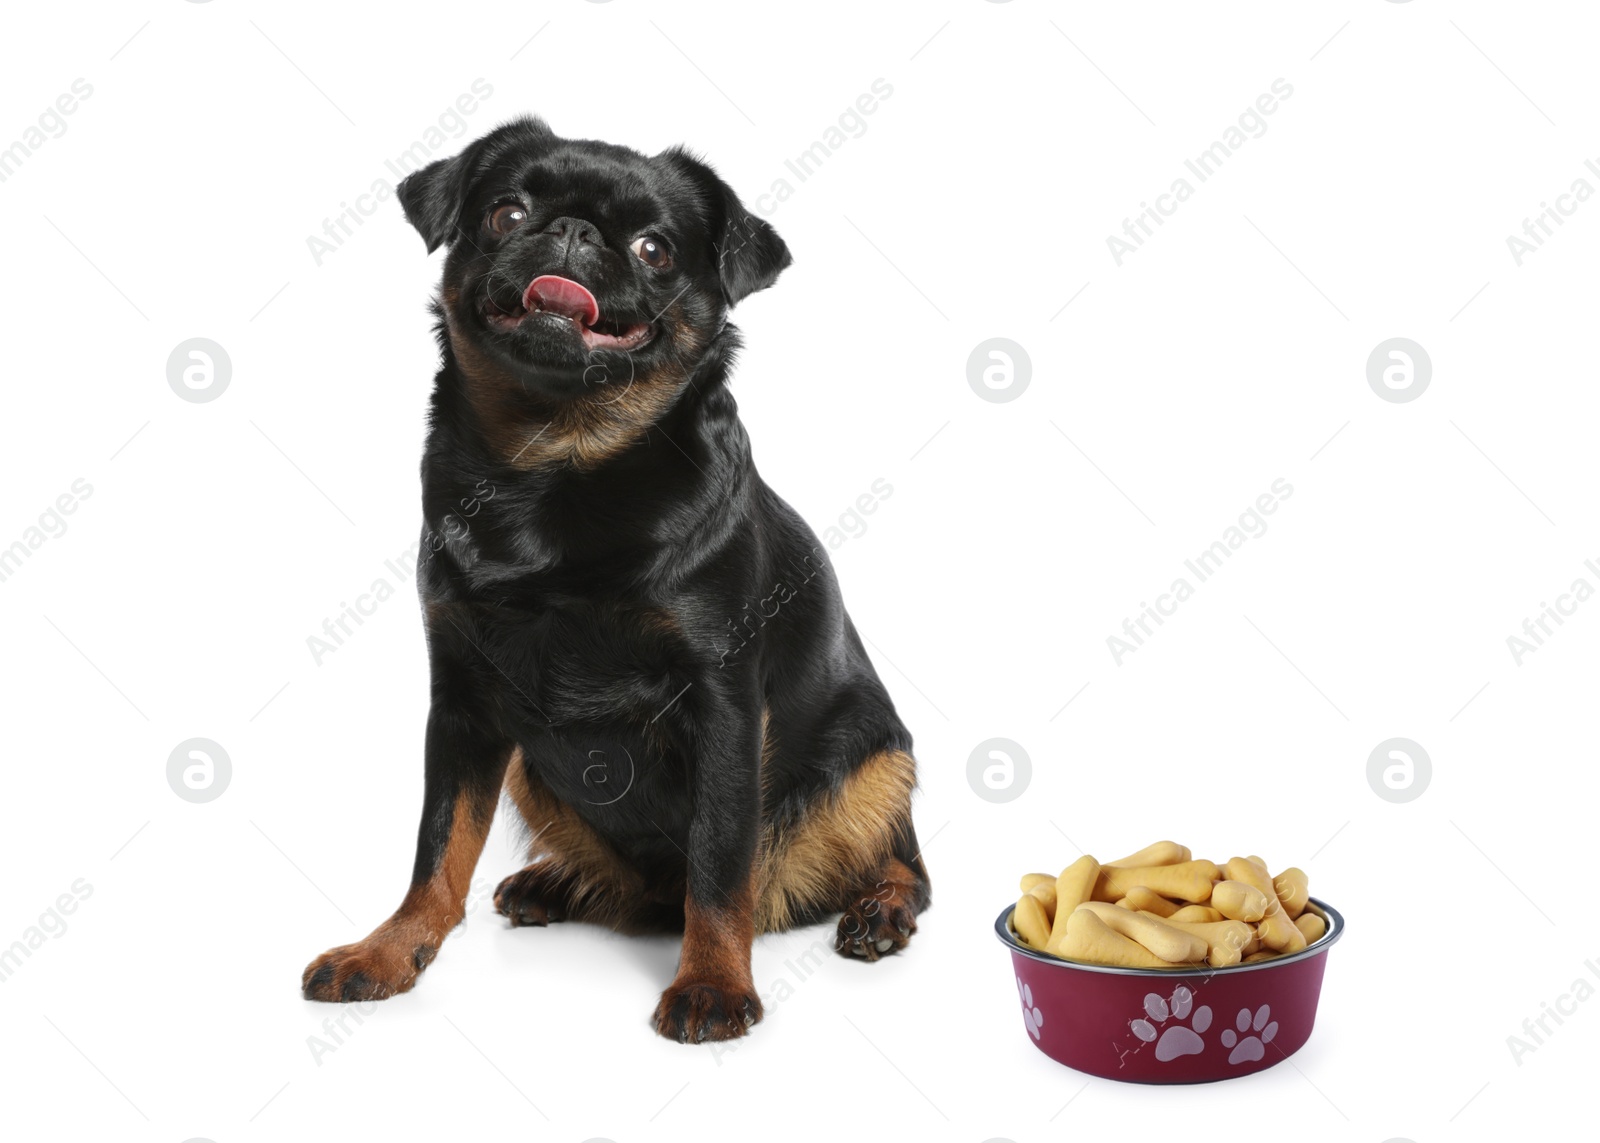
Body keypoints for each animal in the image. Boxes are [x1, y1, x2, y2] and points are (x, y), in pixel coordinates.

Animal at [300, 117, 934, 1043]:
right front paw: (390, 950)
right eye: (506, 210)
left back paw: (878, 911)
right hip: (529, 764)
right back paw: (556, 881)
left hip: (877, 756)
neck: (557, 461)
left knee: (900, 863)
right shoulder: (462, 703)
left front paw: (713, 981)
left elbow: (720, 862)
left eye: (654, 249)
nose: (571, 230)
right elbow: (438, 845)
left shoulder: (724, 706)